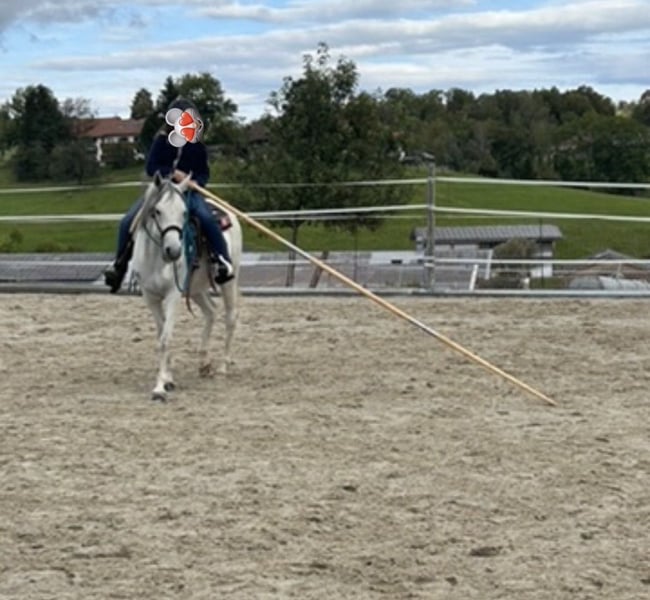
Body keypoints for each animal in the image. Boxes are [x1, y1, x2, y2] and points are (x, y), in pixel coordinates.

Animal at [130, 172, 242, 401]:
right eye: (157, 211)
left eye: (184, 212)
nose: (173, 250)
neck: (157, 259)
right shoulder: (150, 297)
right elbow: (161, 334)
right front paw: (168, 379)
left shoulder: (173, 294)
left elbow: (165, 338)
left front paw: (159, 387)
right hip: (196, 288)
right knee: (211, 312)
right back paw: (204, 364)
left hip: (229, 281)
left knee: (230, 317)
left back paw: (222, 368)